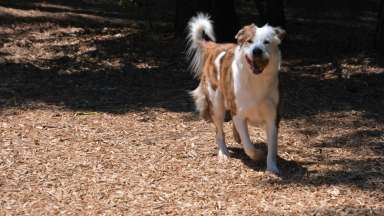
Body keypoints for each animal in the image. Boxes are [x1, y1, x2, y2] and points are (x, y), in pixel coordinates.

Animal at [186, 13, 284, 175]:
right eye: (249, 41)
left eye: (266, 42)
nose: (257, 51)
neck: (255, 80)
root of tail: (215, 46)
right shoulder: (239, 113)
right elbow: (249, 146)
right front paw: (258, 154)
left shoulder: (273, 117)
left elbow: (272, 146)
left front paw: (271, 168)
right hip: (217, 105)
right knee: (219, 132)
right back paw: (224, 153)